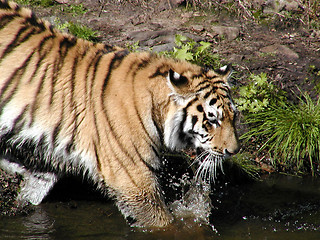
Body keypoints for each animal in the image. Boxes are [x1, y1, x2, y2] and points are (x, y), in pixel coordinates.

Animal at [0, 0, 240, 228]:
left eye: (233, 117)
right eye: (212, 119)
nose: (234, 151)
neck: (156, 109)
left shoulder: (47, 162)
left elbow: (33, 190)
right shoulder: (131, 176)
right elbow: (162, 222)